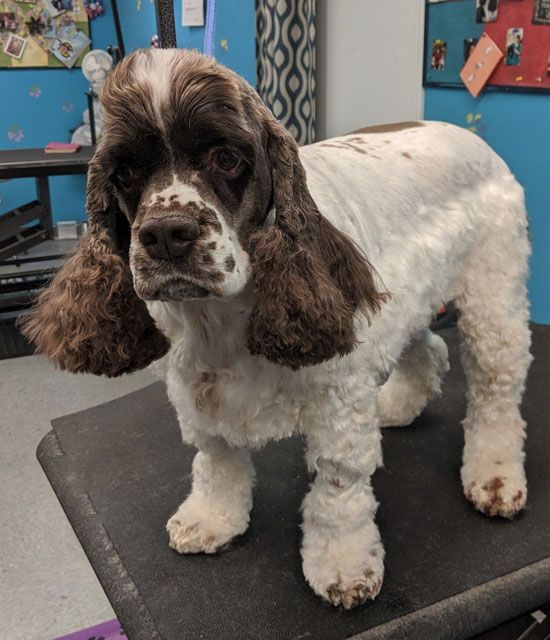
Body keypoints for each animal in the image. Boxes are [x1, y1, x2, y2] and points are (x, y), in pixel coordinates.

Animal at [22, 50, 536, 608]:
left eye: (226, 157)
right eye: (126, 171)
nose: (165, 234)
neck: (219, 318)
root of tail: (469, 137)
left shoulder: (337, 397)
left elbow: (338, 490)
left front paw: (342, 565)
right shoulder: (192, 385)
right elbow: (216, 457)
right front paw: (211, 519)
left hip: (492, 299)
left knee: (496, 392)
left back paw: (493, 476)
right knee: (428, 349)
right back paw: (397, 407)